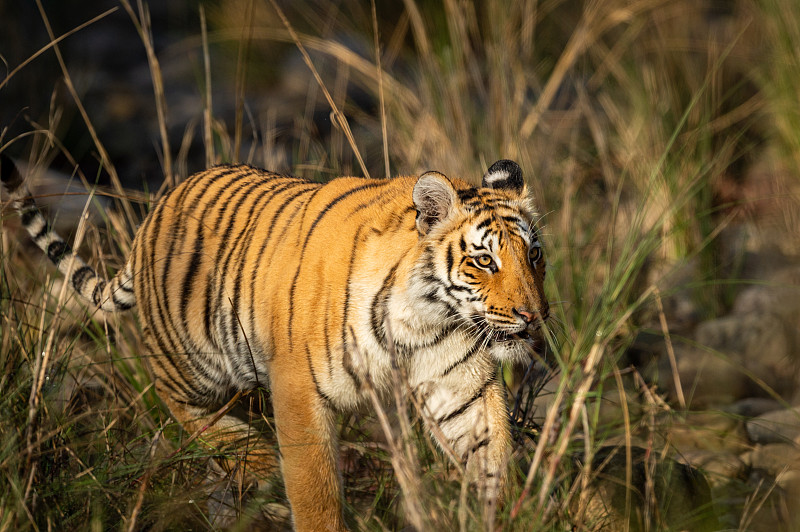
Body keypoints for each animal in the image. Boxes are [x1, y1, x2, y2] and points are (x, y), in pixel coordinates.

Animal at [0, 155, 548, 532]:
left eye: (535, 256)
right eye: (484, 261)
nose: (532, 316)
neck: (426, 321)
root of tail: (154, 213)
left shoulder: (460, 385)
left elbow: (490, 453)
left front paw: (500, 511)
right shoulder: (299, 388)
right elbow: (314, 489)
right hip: (193, 360)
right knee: (179, 404)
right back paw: (256, 458)